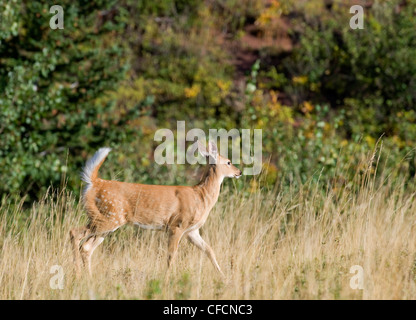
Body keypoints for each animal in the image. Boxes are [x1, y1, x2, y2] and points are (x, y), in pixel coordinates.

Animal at [70, 140, 242, 278]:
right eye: (228, 162)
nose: (239, 172)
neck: (201, 196)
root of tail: (94, 182)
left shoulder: (192, 231)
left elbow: (209, 250)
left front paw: (223, 276)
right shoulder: (177, 225)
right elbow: (171, 256)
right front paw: (167, 279)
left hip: (106, 222)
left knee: (86, 247)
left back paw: (89, 278)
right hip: (108, 216)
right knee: (75, 233)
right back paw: (77, 275)